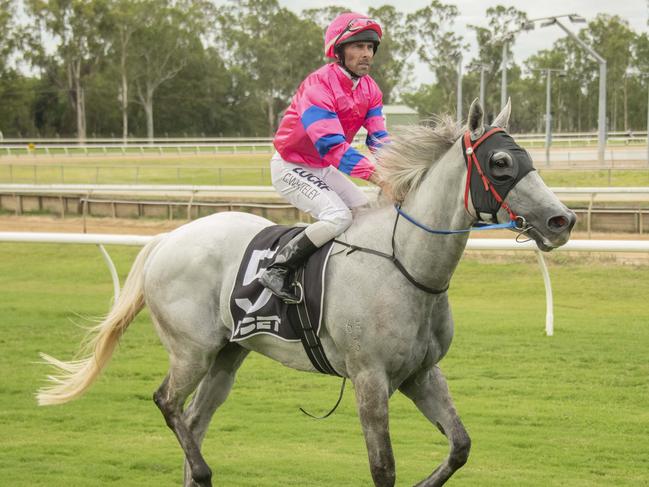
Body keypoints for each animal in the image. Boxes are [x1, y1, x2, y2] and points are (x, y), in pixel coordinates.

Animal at [36, 100, 572, 487]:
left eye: (528, 157)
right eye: (500, 162)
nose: (561, 220)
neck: (405, 263)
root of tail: (168, 239)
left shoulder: (421, 373)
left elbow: (459, 446)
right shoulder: (369, 378)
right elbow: (384, 469)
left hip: (229, 354)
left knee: (194, 419)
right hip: (192, 349)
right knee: (167, 402)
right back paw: (204, 471)